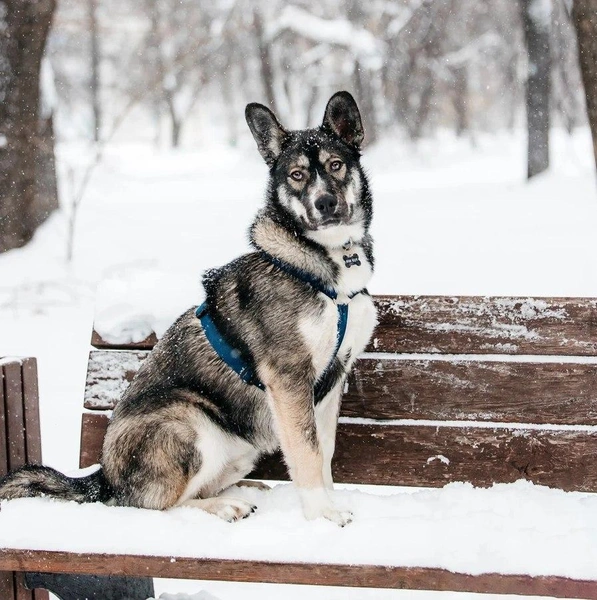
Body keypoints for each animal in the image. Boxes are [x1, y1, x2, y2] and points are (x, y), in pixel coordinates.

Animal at [0, 90, 374, 524]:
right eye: (297, 175)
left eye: (335, 165)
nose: (325, 203)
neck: (326, 266)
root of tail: (104, 477)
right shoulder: (289, 378)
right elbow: (307, 451)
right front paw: (321, 514)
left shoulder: (332, 378)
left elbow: (323, 451)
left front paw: (329, 500)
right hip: (189, 422)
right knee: (153, 504)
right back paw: (226, 504)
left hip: (239, 444)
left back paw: (245, 489)